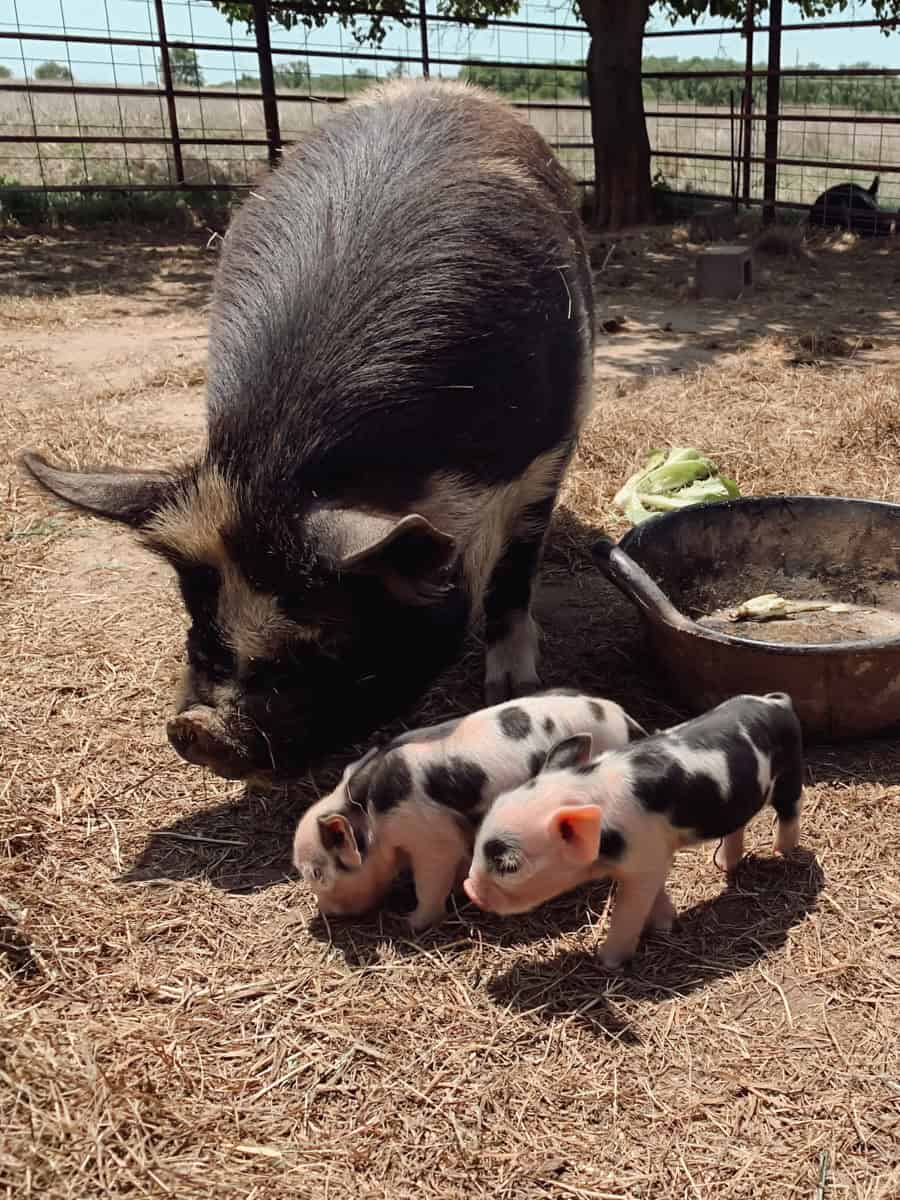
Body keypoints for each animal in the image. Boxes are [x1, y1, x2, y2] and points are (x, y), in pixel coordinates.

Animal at [20, 78, 594, 786]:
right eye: (196, 614)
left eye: (326, 642)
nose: (194, 730)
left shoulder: (547, 453)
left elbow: (515, 570)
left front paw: (513, 690)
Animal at [293, 690, 647, 931]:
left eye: (317, 873)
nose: (327, 912)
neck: (375, 818)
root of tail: (625, 720)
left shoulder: (432, 842)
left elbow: (429, 885)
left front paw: (410, 922)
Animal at [464, 692, 803, 967]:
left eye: (509, 865)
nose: (469, 889)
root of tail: (777, 702)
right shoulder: (650, 858)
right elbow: (655, 894)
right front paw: (665, 925)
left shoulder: (644, 858)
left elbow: (630, 910)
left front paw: (608, 961)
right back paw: (722, 864)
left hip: (789, 775)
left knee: (790, 811)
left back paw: (782, 854)